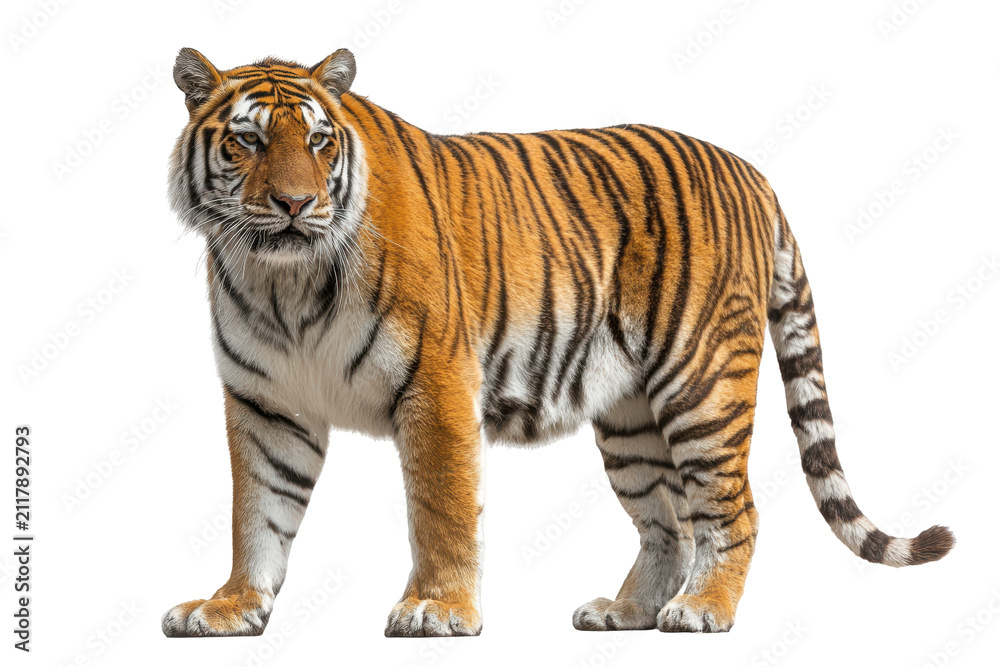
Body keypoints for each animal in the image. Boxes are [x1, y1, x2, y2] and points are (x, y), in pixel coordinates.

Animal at [161, 47, 955, 638]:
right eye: (249, 140)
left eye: (319, 141)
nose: (296, 204)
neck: (283, 281)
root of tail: (752, 172)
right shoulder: (267, 403)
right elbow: (257, 511)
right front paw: (232, 607)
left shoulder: (435, 381)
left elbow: (441, 507)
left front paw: (438, 609)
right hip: (631, 420)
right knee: (670, 524)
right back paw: (627, 611)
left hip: (702, 384)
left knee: (733, 508)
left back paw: (704, 609)